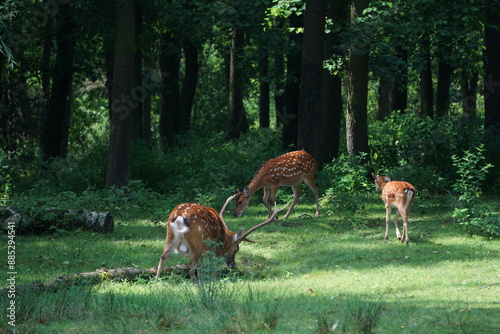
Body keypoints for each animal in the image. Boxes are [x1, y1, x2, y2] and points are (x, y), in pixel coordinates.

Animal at [154, 194, 288, 280]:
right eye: (237, 249)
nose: (232, 265)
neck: (224, 237)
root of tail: (179, 216)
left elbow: (202, 266)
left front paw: (203, 281)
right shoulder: (215, 249)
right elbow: (213, 267)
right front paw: (212, 280)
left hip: (170, 236)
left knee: (163, 257)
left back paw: (156, 283)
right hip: (197, 241)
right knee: (191, 263)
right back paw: (193, 284)